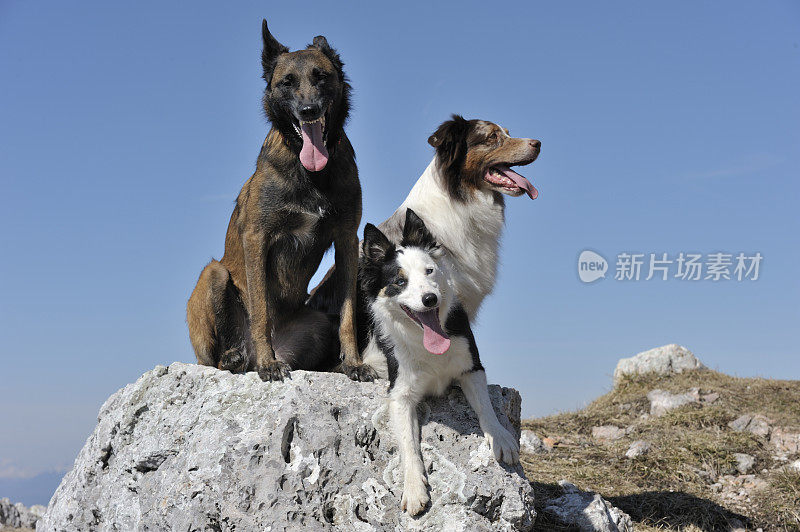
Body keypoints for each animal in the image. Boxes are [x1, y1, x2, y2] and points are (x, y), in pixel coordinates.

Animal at [186, 18, 376, 380]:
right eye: (287, 82)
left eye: (321, 76)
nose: (308, 110)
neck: (311, 174)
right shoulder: (257, 238)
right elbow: (260, 310)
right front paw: (269, 363)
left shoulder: (347, 239)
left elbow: (348, 316)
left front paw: (354, 363)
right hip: (212, 274)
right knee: (214, 359)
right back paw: (238, 358)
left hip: (318, 323)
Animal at [360, 211, 520, 516]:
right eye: (400, 281)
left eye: (429, 271)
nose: (429, 299)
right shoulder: (399, 394)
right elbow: (408, 445)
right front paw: (413, 488)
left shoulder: (472, 367)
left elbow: (486, 408)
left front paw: (501, 437)